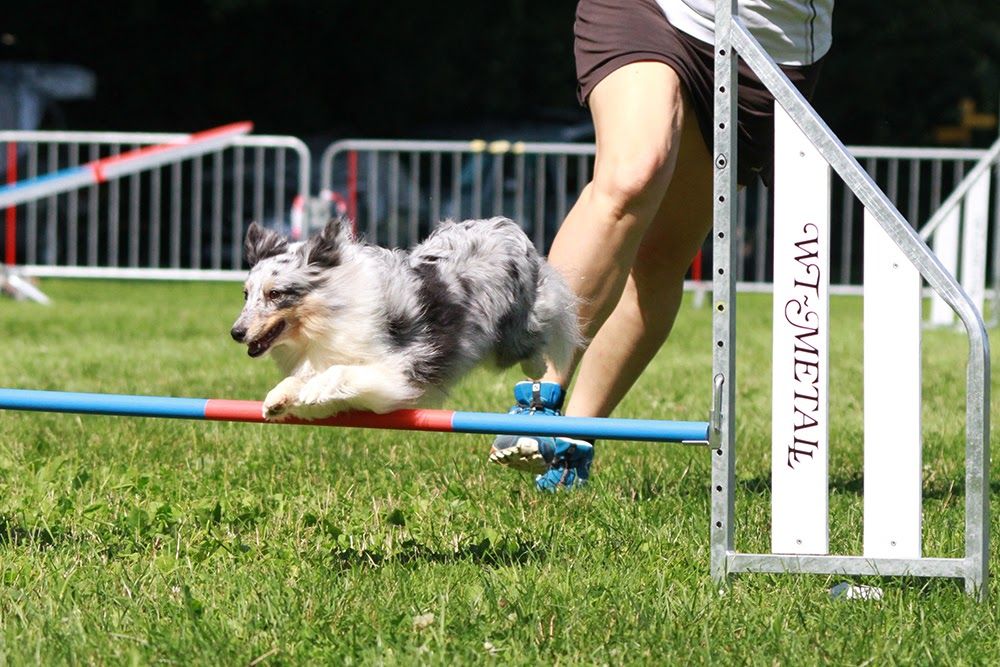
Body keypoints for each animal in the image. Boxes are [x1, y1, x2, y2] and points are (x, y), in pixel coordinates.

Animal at [230, 217, 584, 420]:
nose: (236, 333)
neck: (328, 314)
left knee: (540, 327)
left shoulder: (399, 369)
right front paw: (277, 399)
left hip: (512, 335)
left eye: (275, 293)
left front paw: (316, 388)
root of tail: (506, 224)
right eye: (246, 294)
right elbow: (301, 380)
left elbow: (341, 373)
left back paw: (537, 368)